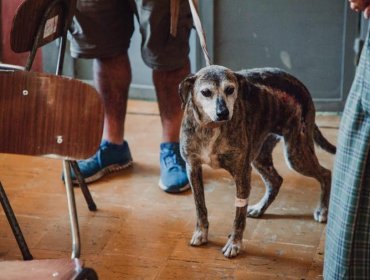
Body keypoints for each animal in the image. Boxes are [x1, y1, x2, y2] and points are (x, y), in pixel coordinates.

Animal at [178, 64, 336, 258]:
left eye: (230, 89)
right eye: (206, 92)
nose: (223, 113)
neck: (211, 128)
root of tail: (300, 85)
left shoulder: (242, 173)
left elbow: (239, 215)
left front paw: (234, 243)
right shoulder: (192, 168)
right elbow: (200, 206)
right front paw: (201, 233)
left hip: (296, 154)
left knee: (326, 174)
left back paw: (323, 210)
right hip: (261, 157)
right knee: (276, 181)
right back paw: (260, 208)